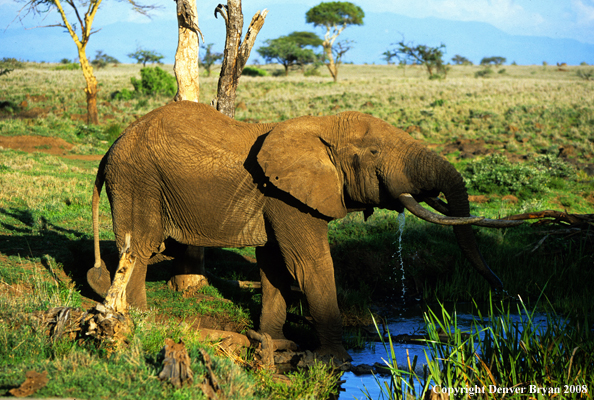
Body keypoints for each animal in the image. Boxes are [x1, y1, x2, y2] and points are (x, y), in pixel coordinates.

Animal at [88, 101, 520, 362]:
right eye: (374, 153)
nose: (501, 289)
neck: (321, 125)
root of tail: (111, 146)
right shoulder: (287, 196)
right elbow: (308, 264)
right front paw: (335, 360)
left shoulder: (277, 198)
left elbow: (275, 266)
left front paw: (274, 343)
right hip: (137, 179)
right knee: (141, 245)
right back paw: (139, 316)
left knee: (139, 248)